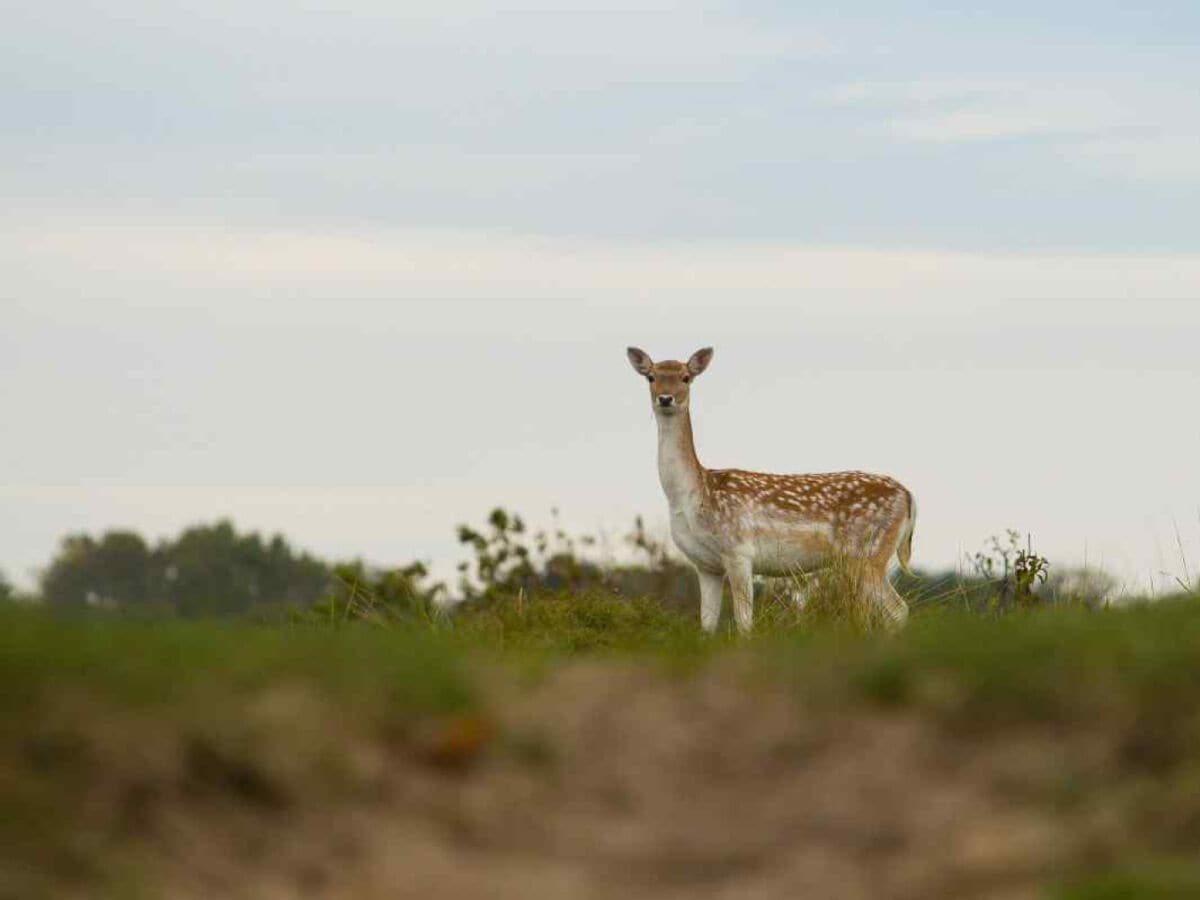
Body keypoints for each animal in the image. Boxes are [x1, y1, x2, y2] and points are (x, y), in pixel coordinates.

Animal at [624, 345, 912, 633]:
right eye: (650, 377)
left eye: (686, 377)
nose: (665, 398)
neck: (692, 496)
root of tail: (908, 497)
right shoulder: (705, 565)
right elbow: (706, 626)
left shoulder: (739, 550)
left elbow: (744, 623)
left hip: (867, 551)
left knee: (899, 609)